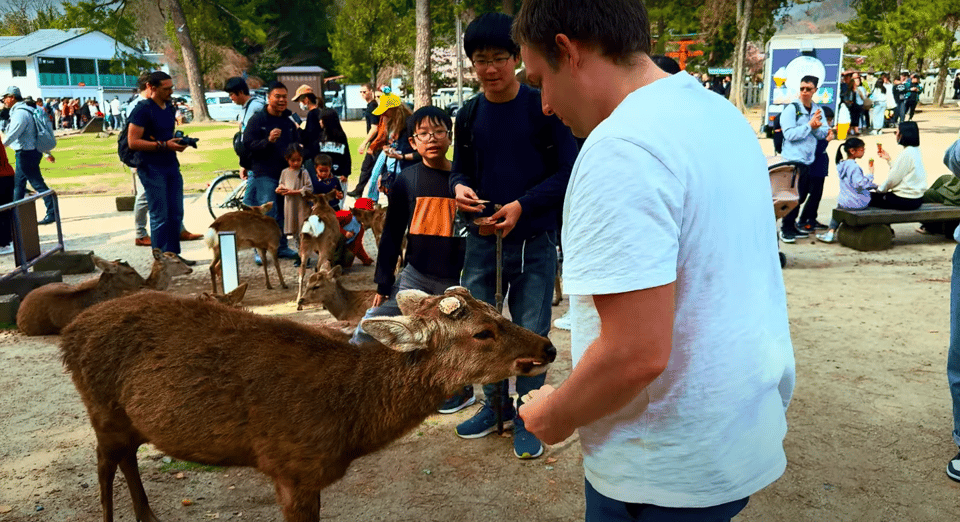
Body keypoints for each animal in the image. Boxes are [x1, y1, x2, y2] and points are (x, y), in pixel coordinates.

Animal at [60, 284, 556, 520]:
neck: (349, 425)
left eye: (496, 310)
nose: (548, 347)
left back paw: (148, 515)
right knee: (104, 463)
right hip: (100, 407)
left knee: (127, 457)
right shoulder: (290, 467)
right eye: (482, 332)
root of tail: (69, 332)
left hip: (126, 418)